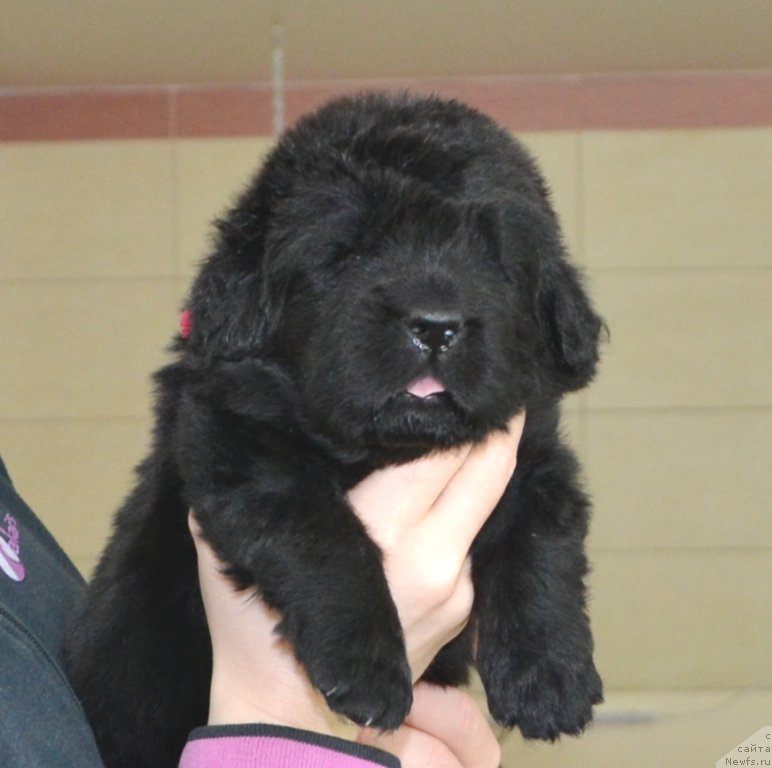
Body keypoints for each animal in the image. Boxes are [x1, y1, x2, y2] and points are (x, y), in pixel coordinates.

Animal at [63, 93, 608, 764]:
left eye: (494, 260)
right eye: (348, 253)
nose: (435, 325)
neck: (390, 450)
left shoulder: (532, 453)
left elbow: (542, 544)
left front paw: (551, 678)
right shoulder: (238, 444)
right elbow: (326, 538)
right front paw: (367, 669)